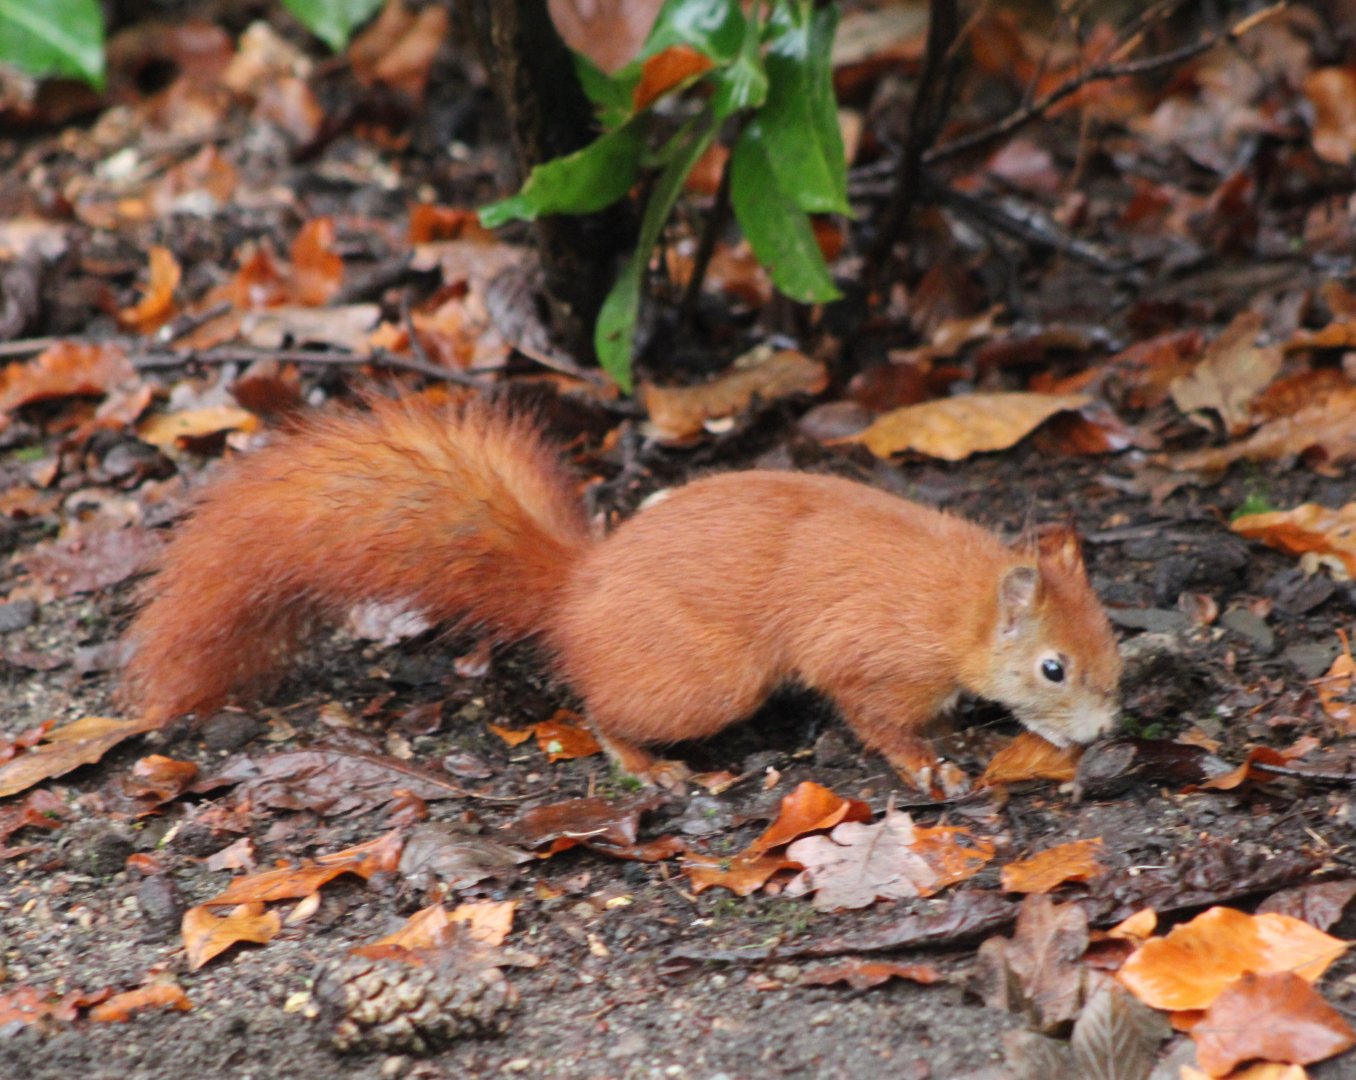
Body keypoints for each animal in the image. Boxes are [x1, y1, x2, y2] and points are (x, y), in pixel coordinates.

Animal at [121, 395, 1123, 785]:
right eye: (1053, 668)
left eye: (1113, 645)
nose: (1104, 733)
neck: (960, 602)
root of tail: (578, 591)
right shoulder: (873, 656)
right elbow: (876, 721)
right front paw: (929, 763)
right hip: (704, 681)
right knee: (604, 710)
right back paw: (651, 766)